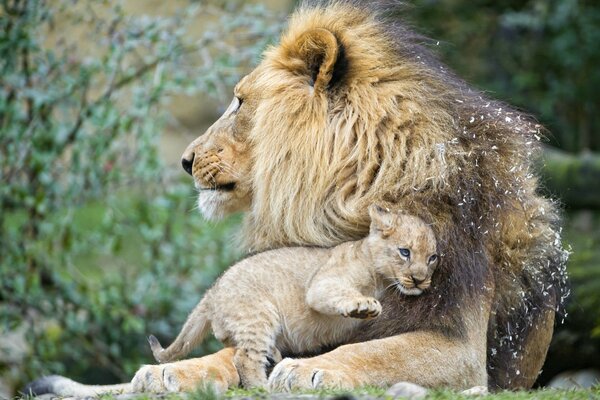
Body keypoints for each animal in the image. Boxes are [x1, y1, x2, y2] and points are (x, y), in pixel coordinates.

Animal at [25, 0, 568, 394]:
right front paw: (171, 372)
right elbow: (233, 349)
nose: (185, 159)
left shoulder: (462, 345)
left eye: (240, 101)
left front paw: (312, 370)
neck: (352, 199)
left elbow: (377, 350)